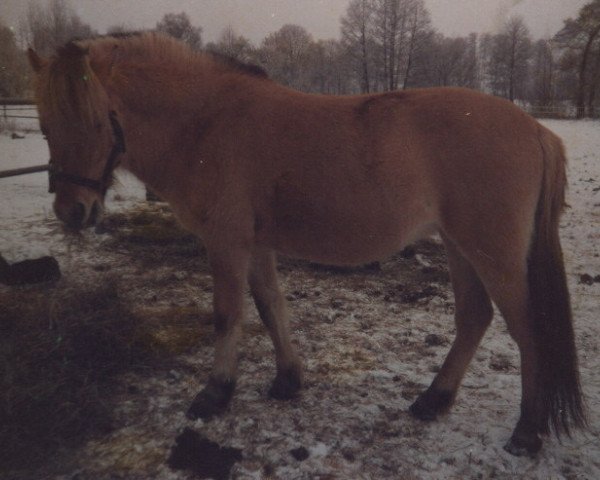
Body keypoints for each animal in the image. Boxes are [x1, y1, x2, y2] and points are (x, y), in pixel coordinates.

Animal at [25, 32, 584, 454]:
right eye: (46, 124)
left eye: (95, 121)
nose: (72, 211)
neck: (207, 123)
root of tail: (537, 129)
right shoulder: (256, 245)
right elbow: (272, 307)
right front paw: (287, 380)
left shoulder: (226, 242)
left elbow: (228, 315)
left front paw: (215, 393)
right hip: (458, 246)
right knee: (473, 320)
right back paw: (433, 401)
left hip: (492, 252)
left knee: (527, 331)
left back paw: (526, 433)